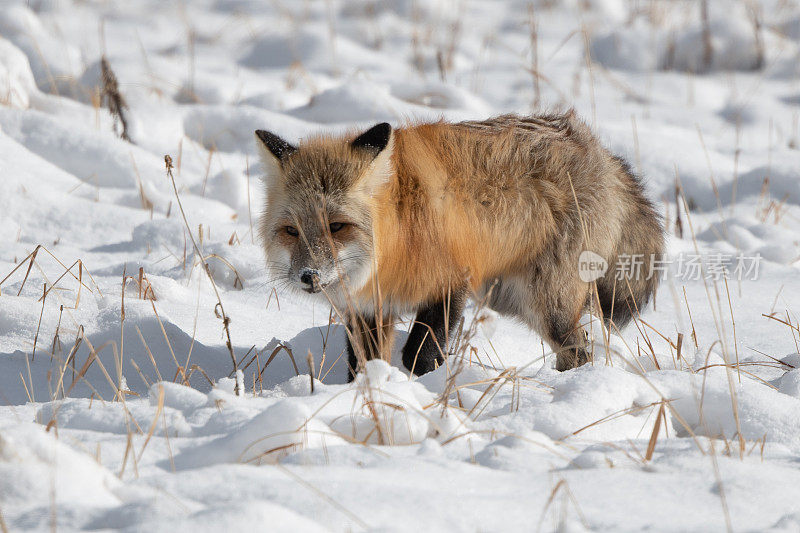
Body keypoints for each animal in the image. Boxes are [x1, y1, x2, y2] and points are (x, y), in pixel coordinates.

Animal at [256, 111, 664, 378]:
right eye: (291, 231)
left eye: (337, 226)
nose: (309, 276)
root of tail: (595, 147)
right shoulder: (368, 308)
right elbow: (365, 364)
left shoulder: (451, 283)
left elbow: (419, 356)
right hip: (510, 298)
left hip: (544, 303)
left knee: (578, 352)